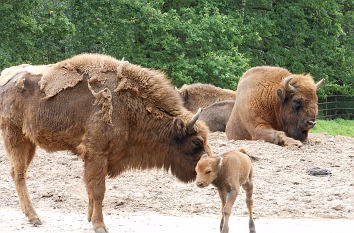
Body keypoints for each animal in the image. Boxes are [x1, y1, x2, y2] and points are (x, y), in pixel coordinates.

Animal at [0, 53, 212, 233]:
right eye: (196, 142)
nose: (205, 170)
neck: (129, 109)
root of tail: (6, 79)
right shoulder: (97, 154)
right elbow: (98, 190)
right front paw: (100, 225)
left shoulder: (96, 159)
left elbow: (90, 189)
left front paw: (89, 217)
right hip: (15, 136)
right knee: (19, 174)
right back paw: (34, 217)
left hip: (29, 142)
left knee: (16, 172)